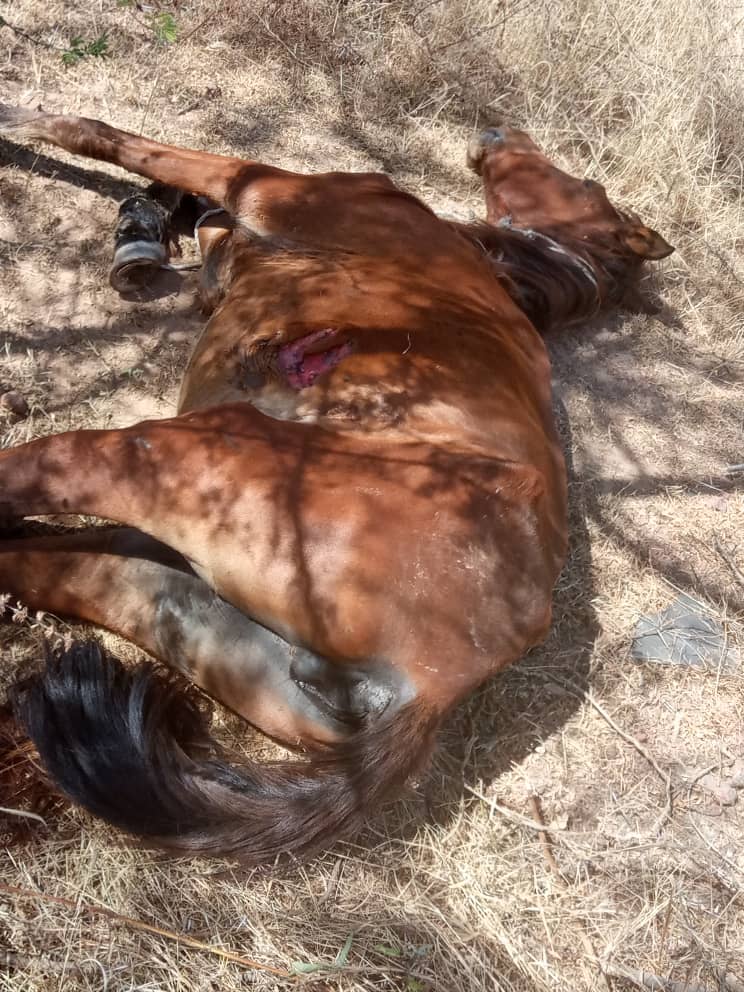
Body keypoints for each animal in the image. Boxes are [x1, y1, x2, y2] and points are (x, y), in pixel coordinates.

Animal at [0, 102, 676, 860]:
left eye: (583, 182)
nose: (498, 133)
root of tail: (434, 684)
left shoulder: (258, 182)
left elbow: (111, 138)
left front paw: (26, 123)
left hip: (174, 457)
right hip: (168, 599)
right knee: (40, 564)